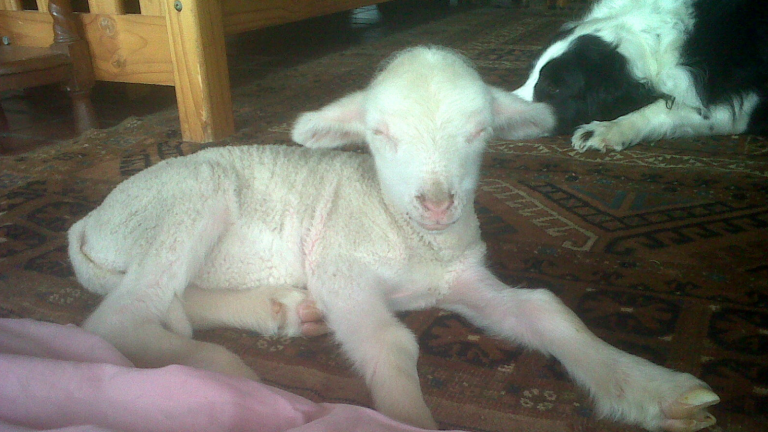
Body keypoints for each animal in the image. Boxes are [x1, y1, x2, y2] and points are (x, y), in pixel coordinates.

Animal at [68, 46, 718, 432]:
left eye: (479, 131)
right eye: (379, 133)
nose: (436, 203)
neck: (407, 239)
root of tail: (89, 221)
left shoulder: (461, 277)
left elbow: (547, 310)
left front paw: (653, 388)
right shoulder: (337, 267)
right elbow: (392, 342)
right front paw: (407, 414)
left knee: (170, 298)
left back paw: (279, 310)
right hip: (189, 200)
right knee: (118, 318)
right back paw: (218, 369)